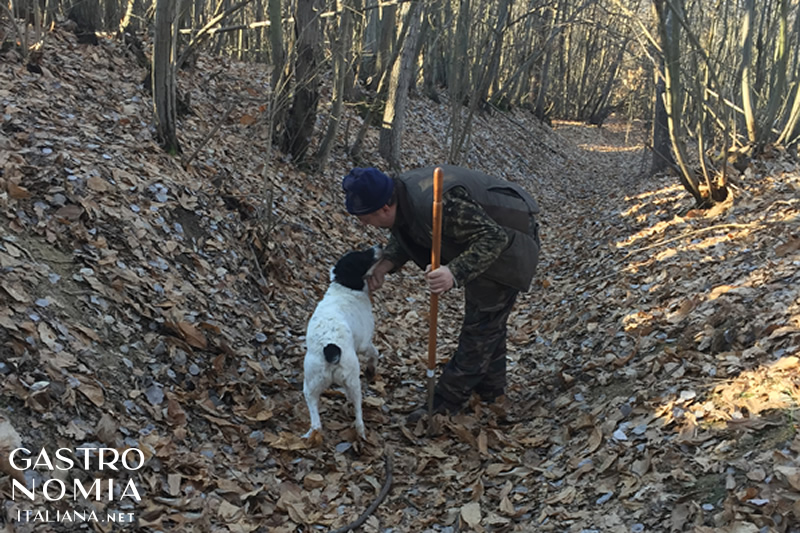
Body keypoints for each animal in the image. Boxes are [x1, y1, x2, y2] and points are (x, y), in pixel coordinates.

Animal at [304, 244, 382, 436]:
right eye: (362, 256)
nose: (379, 246)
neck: (345, 287)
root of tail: (330, 347)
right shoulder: (364, 344)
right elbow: (375, 353)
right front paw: (371, 369)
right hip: (354, 381)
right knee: (359, 414)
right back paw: (361, 432)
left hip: (310, 385)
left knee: (316, 422)